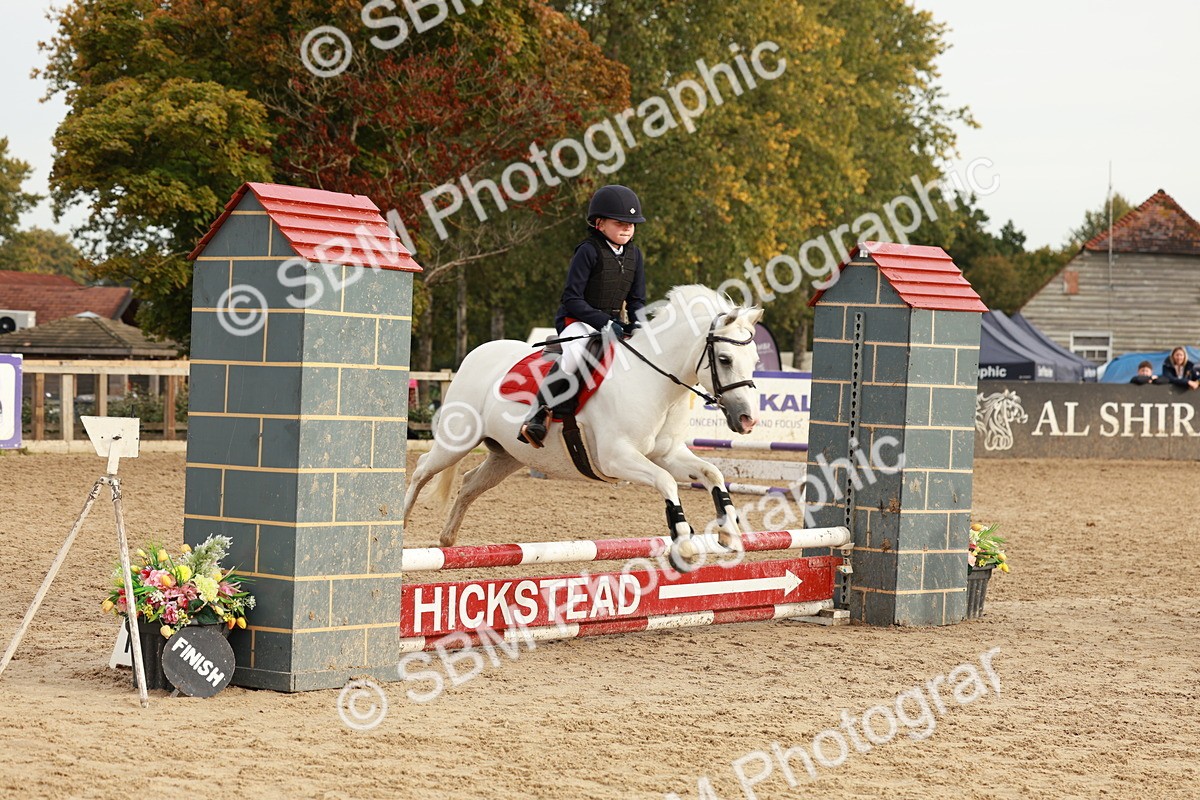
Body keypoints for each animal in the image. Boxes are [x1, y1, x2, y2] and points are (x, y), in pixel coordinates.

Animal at [402, 285, 763, 571]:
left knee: (468, 483)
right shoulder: (616, 458)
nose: (747, 420)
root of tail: (475, 354)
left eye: (756, 360)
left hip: (507, 456)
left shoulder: (667, 454)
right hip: (456, 442)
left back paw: (448, 539)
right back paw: (401, 526)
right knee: (422, 469)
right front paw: (685, 546)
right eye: (725, 359)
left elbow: (712, 474)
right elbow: (666, 482)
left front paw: (730, 531)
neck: (654, 380)